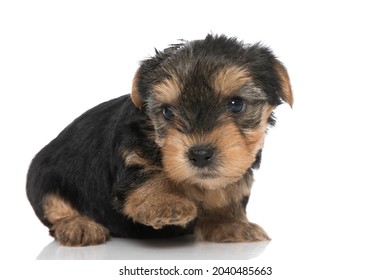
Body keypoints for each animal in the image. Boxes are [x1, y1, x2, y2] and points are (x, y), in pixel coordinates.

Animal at [25, 34, 292, 246]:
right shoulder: (130, 150)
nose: (200, 154)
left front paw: (229, 223)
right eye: (167, 112)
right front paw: (166, 202)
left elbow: (225, 191)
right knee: (53, 206)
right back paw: (78, 225)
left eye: (236, 104)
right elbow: (149, 173)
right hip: (43, 177)